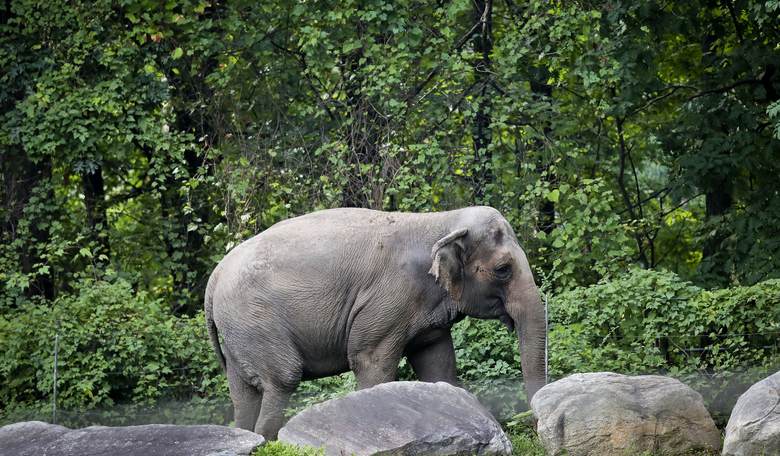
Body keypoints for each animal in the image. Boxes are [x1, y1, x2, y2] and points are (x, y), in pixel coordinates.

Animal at [204, 206, 546, 439]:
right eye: (503, 269)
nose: (533, 425)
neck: (440, 220)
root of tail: (214, 277)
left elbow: (438, 366)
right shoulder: (388, 300)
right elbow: (371, 362)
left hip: (238, 333)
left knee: (243, 394)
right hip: (255, 320)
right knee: (282, 379)